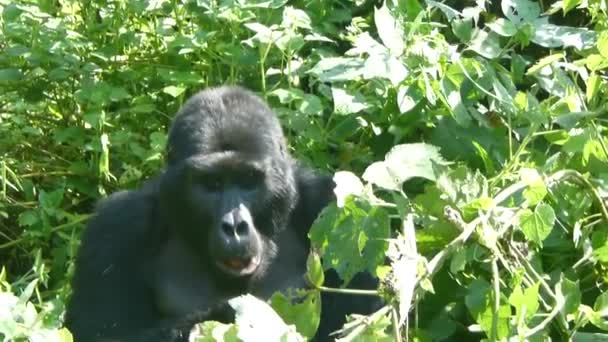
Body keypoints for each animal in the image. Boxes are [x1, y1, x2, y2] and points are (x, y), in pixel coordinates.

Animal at [67, 86, 380, 342]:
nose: (234, 226)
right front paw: (228, 315)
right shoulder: (116, 226)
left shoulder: (332, 203)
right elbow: (99, 332)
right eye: (212, 184)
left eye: (248, 181)